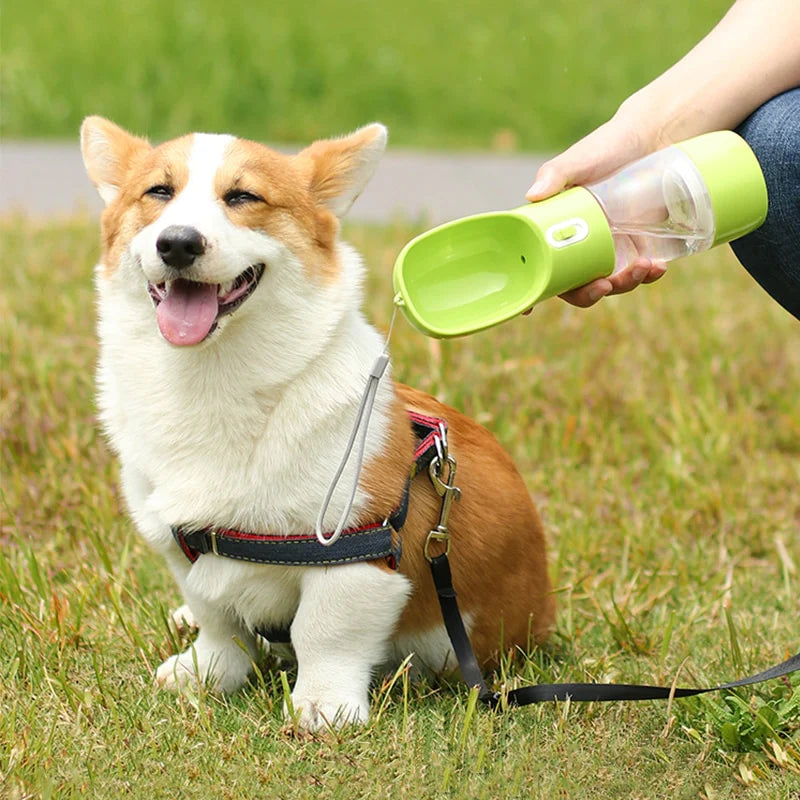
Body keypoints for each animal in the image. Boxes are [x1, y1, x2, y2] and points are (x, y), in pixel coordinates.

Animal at [81, 115, 556, 736]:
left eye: (243, 197)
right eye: (158, 192)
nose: (178, 242)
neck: (212, 380)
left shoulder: (356, 555)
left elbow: (323, 633)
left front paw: (322, 709)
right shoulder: (181, 547)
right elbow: (218, 622)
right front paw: (204, 674)